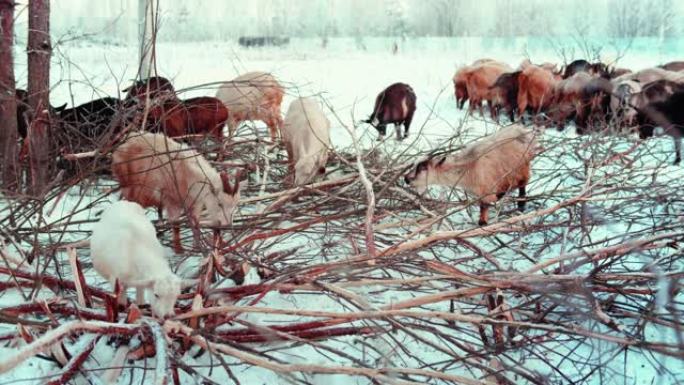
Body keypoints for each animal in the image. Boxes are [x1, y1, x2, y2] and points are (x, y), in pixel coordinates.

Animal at [111, 132, 240, 252]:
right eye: (220, 204)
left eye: (234, 207)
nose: (226, 225)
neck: (189, 175)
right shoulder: (172, 200)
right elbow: (176, 224)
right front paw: (179, 250)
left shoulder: (195, 203)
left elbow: (196, 224)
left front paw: (196, 248)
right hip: (131, 186)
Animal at [404, 123, 536, 225]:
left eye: (423, 168)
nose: (406, 179)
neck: (468, 167)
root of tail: (524, 131)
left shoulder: (486, 189)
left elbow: (484, 205)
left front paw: (482, 223)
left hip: (521, 168)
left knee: (523, 183)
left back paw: (521, 204)